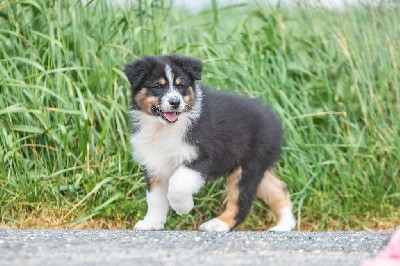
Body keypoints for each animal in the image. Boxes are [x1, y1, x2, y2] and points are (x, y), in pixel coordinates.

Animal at [125, 55, 296, 232]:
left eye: (181, 85)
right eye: (157, 86)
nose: (175, 102)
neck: (164, 128)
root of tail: (275, 122)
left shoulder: (202, 156)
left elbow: (178, 184)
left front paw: (184, 208)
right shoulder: (154, 164)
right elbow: (155, 199)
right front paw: (151, 223)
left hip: (249, 164)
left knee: (242, 203)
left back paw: (218, 224)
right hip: (256, 164)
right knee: (279, 189)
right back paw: (283, 225)